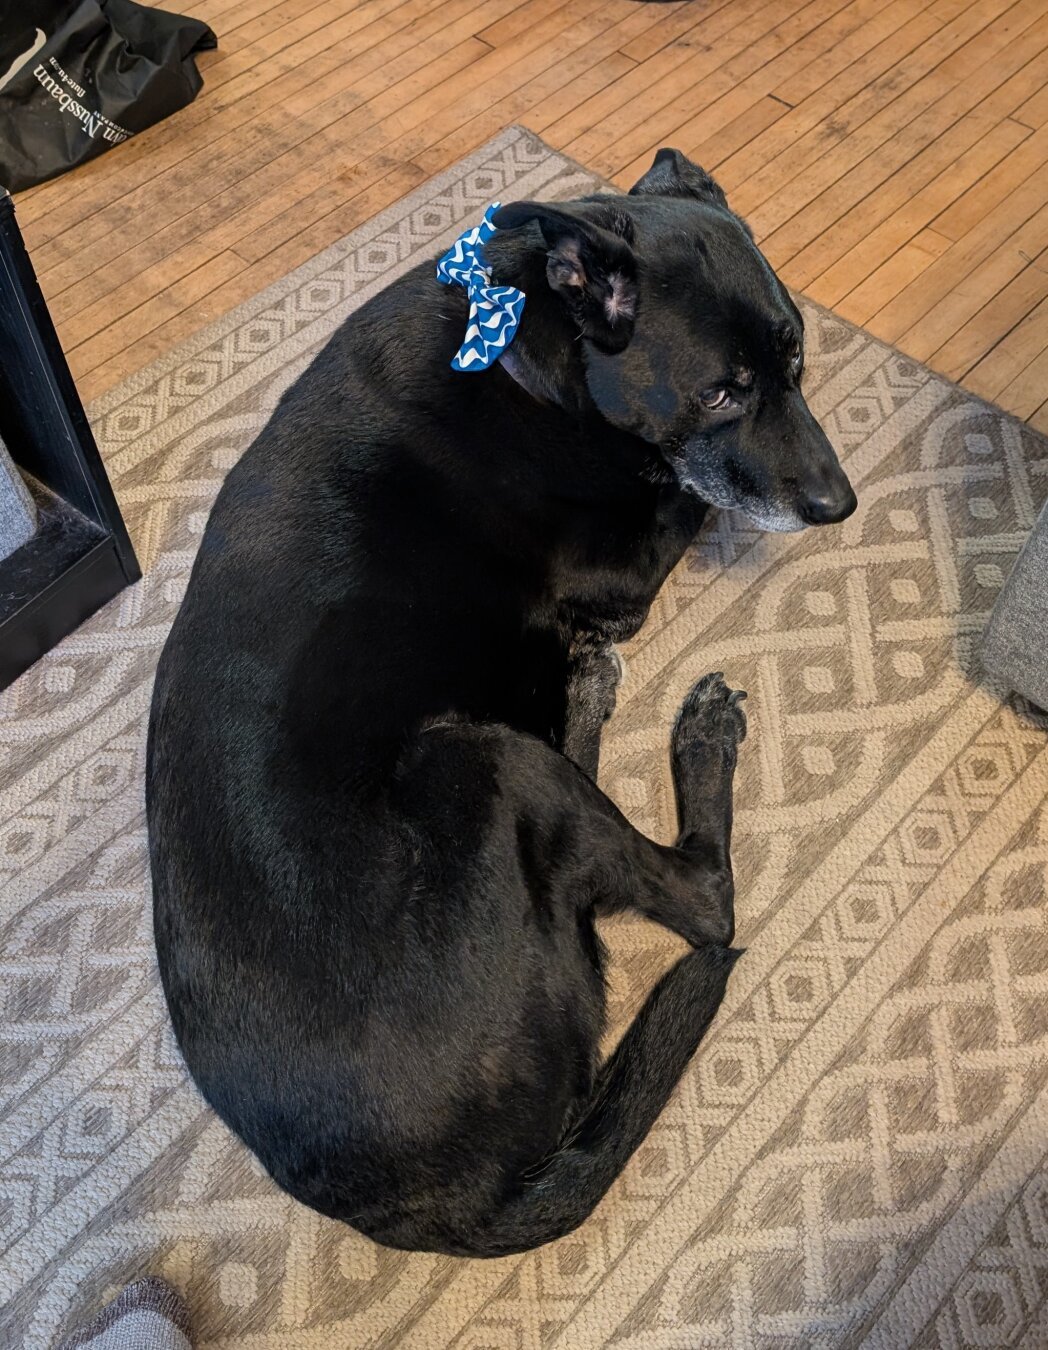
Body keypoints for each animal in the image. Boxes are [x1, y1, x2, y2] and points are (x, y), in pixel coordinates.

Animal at [145, 153, 853, 1258]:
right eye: (722, 390)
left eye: (796, 358)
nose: (839, 505)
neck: (527, 350)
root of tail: (448, 1207)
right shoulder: (624, 561)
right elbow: (684, 493)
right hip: (477, 760)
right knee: (702, 898)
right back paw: (693, 732)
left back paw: (589, 688)